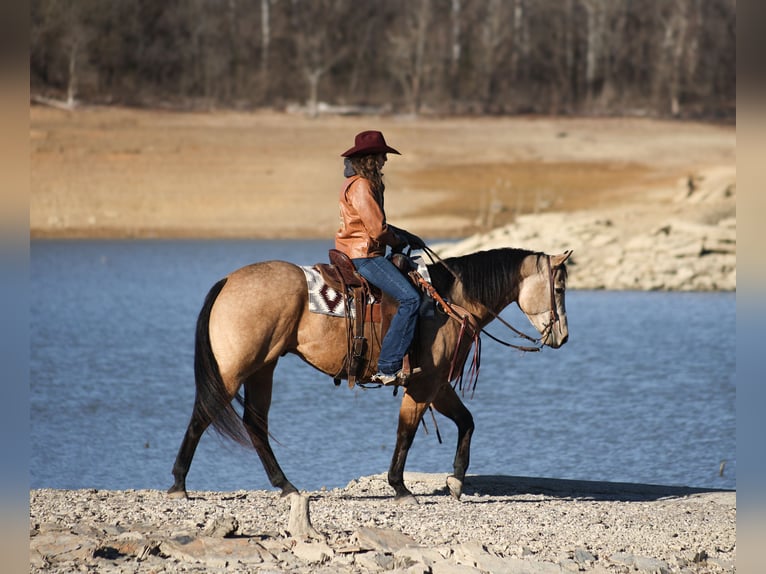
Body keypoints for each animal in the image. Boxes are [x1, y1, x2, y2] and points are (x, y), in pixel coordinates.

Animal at [168, 247, 572, 502]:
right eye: (559, 287)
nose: (563, 337)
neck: (448, 301)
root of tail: (227, 281)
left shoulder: (437, 386)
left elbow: (467, 422)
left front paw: (456, 480)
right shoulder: (424, 385)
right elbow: (406, 433)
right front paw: (401, 488)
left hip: (263, 368)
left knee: (255, 423)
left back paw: (286, 486)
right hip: (235, 370)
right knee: (204, 415)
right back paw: (179, 484)